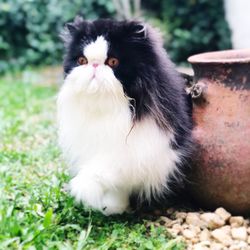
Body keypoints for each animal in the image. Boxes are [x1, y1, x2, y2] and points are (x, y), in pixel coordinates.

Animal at [57, 16, 193, 216]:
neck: (107, 107)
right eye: (82, 60)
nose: (94, 65)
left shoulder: (157, 148)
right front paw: (113, 206)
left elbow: (113, 164)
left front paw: (83, 187)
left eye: (113, 62)